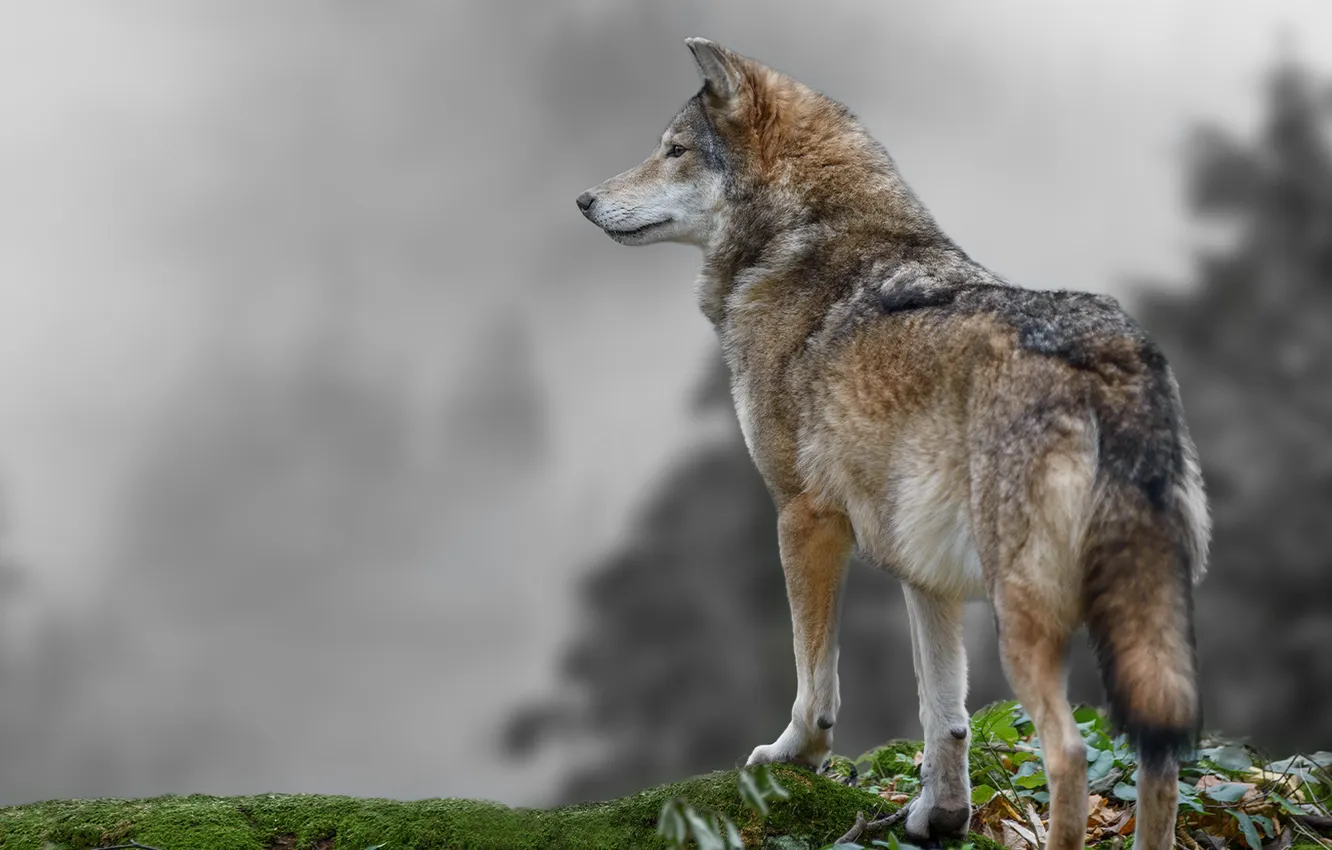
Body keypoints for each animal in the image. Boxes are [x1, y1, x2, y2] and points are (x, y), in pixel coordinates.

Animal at [576, 38, 1208, 850]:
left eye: (674, 150)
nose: (584, 200)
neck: (801, 246)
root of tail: (1108, 358)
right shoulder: (922, 569)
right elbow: (946, 714)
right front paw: (941, 815)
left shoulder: (803, 517)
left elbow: (814, 678)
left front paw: (794, 755)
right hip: (1139, 619)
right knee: (1160, 759)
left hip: (1026, 616)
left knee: (1069, 754)